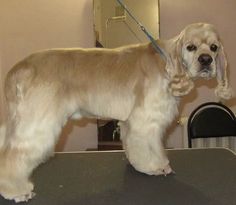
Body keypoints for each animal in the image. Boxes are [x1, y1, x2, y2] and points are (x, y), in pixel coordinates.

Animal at [0, 22, 233, 202]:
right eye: (191, 47)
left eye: (214, 47)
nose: (206, 60)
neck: (167, 63)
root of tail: (19, 68)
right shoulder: (146, 118)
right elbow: (149, 146)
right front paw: (154, 166)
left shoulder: (131, 121)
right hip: (37, 123)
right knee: (14, 155)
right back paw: (15, 190)